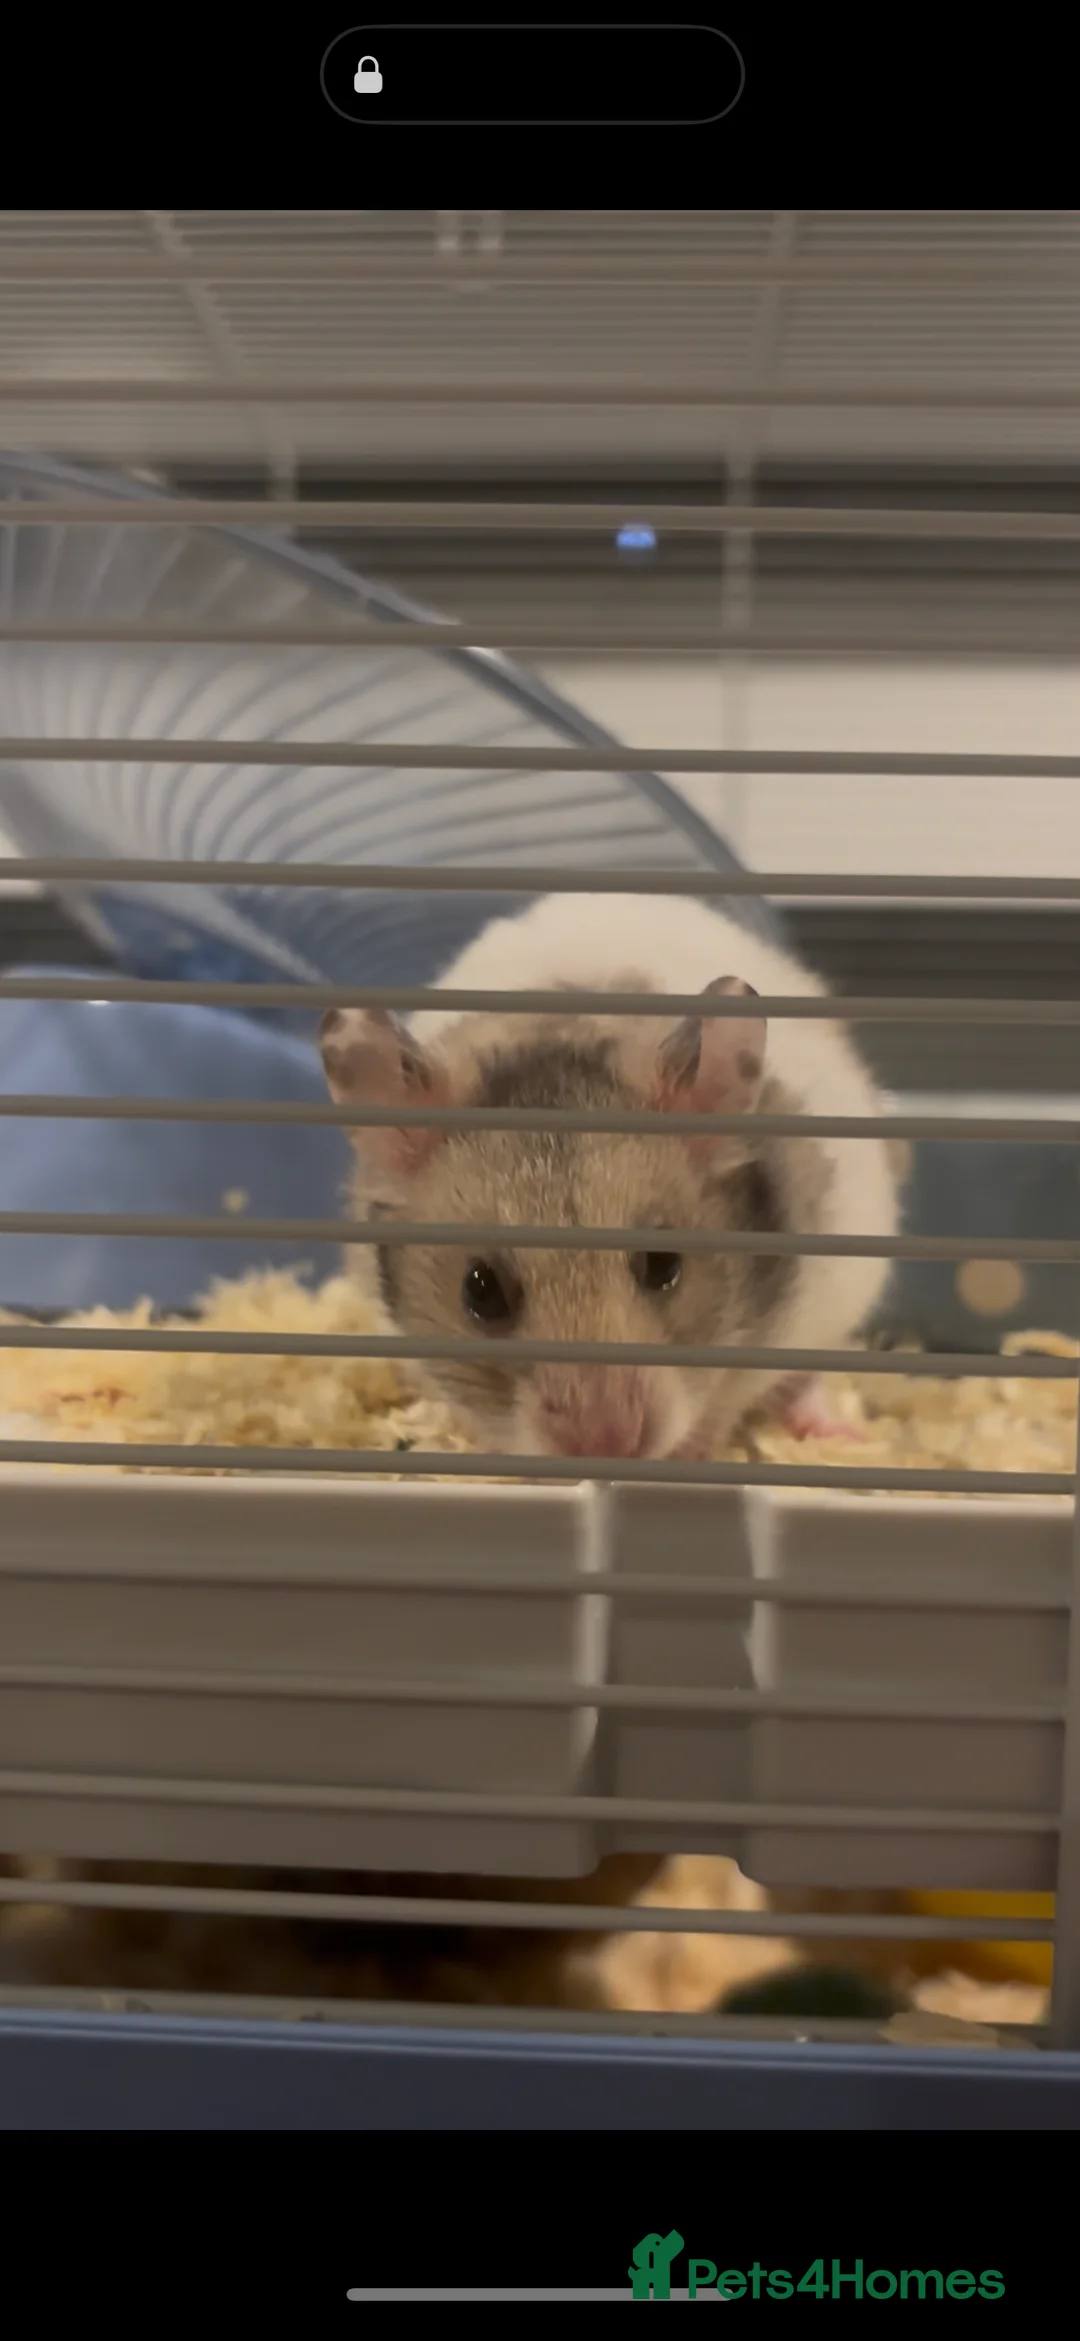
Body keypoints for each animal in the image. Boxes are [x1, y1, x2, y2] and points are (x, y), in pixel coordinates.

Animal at [319, 893, 901, 1462]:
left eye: (663, 1264)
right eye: (480, 1292)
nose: (609, 1444)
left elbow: (730, 1402)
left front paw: (693, 1454)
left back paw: (842, 1434)